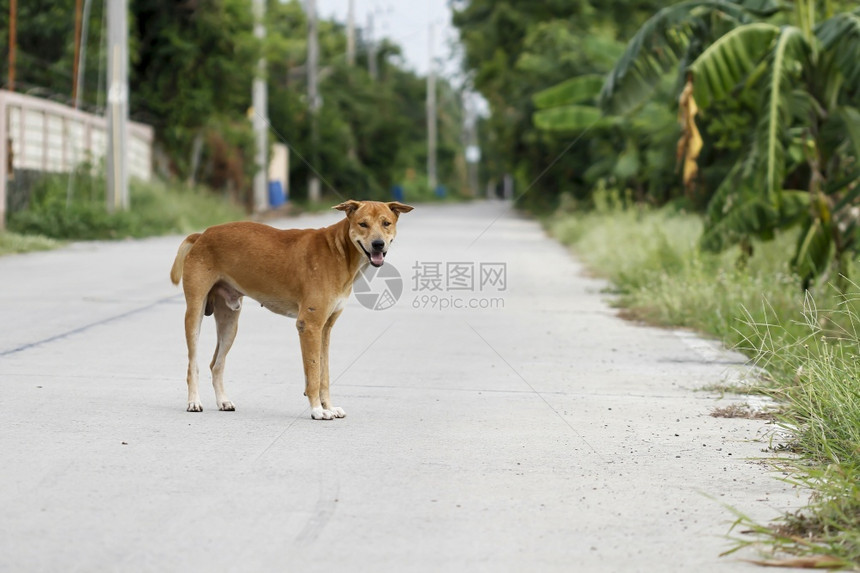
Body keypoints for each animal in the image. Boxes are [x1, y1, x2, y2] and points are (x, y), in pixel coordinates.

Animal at [169, 199, 414, 418]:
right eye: (363, 224)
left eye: (386, 223)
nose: (378, 244)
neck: (339, 251)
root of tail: (202, 235)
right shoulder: (309, 325)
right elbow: (313, 373)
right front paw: (317, 410)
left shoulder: (325, 329)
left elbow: (324, 374)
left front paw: (328, 406)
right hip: (194, 314)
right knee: (193, 364)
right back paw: (194, 401)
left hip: (230, 323)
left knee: (216, 364)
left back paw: (223, 401)